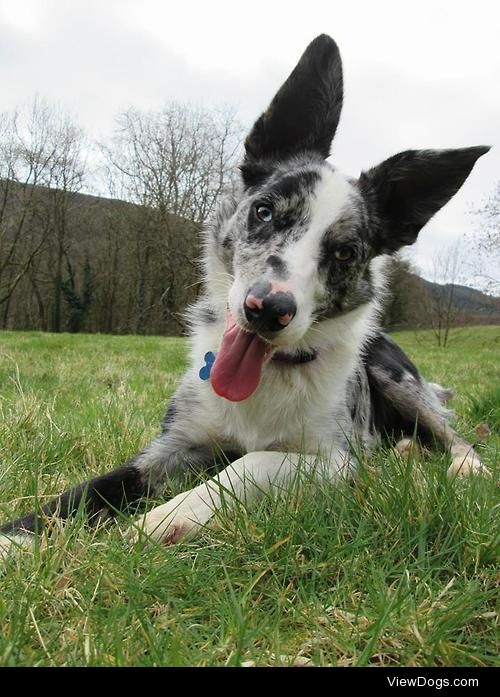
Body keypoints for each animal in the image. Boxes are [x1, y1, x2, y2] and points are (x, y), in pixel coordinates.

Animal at [0, 35, 490, 560]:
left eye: (344, 251)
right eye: (264, 211)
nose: (267, 309)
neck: (267, 378)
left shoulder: (339, 463)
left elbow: (250, 461)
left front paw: (165, 518)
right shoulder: (171, 445)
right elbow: (87, 491)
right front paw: (16, 538)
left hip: (393, 374)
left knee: (454, 434)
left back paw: (465, 468)